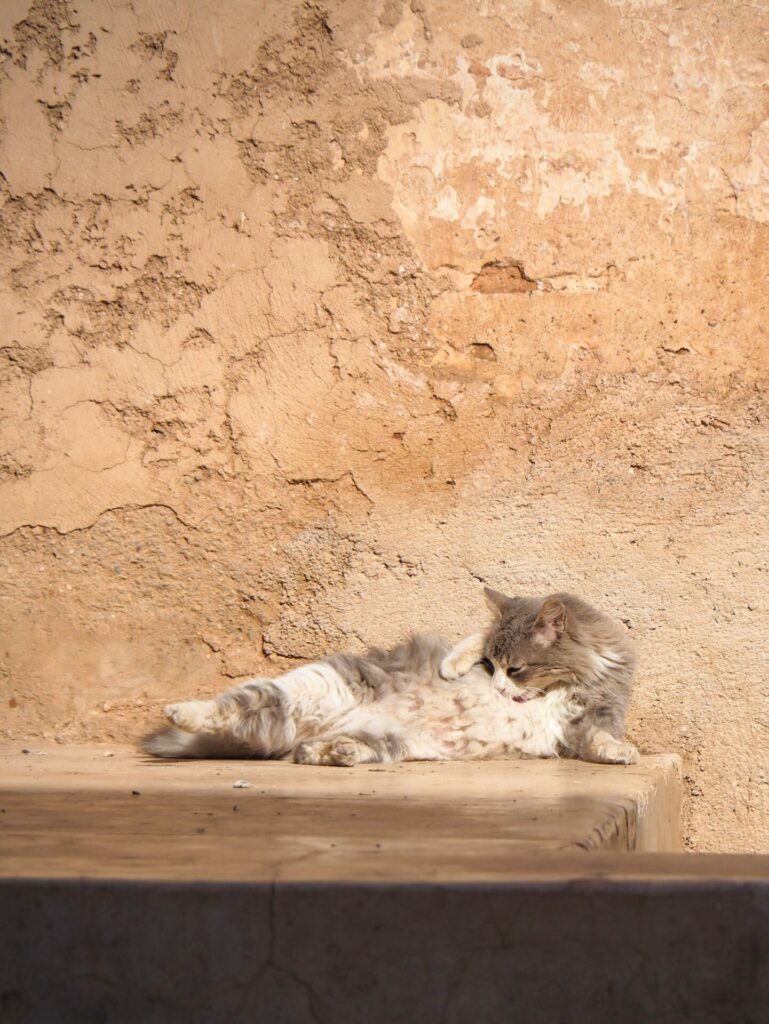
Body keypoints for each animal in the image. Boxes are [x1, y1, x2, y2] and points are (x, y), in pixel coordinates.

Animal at [143, 585, 638, 770]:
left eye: (515, 670)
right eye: (496, 668)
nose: (499, 688)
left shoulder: (588, 721)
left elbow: (600, 740)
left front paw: (622, 752)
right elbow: (471, 641)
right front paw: (456, 663)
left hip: (387, 741)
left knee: (311, 749)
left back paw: (332, 752)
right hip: (312, 685)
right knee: (232, 705)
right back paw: (182, 713)